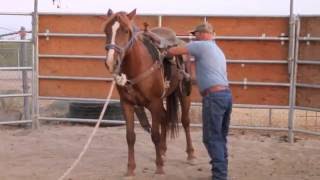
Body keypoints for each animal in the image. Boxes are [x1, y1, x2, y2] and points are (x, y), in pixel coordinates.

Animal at [102, 8, 195, 176]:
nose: (111, 62)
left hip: (183, 94)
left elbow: (155, 135)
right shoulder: (127, 104)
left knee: (185, 121)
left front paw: (159, 167)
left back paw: (190, 154)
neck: (137, 66)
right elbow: (130, 136)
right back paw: (163, 151)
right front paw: (130, 168)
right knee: (165, 117)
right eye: (106, 30)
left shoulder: (154, 102)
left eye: (126, 30)